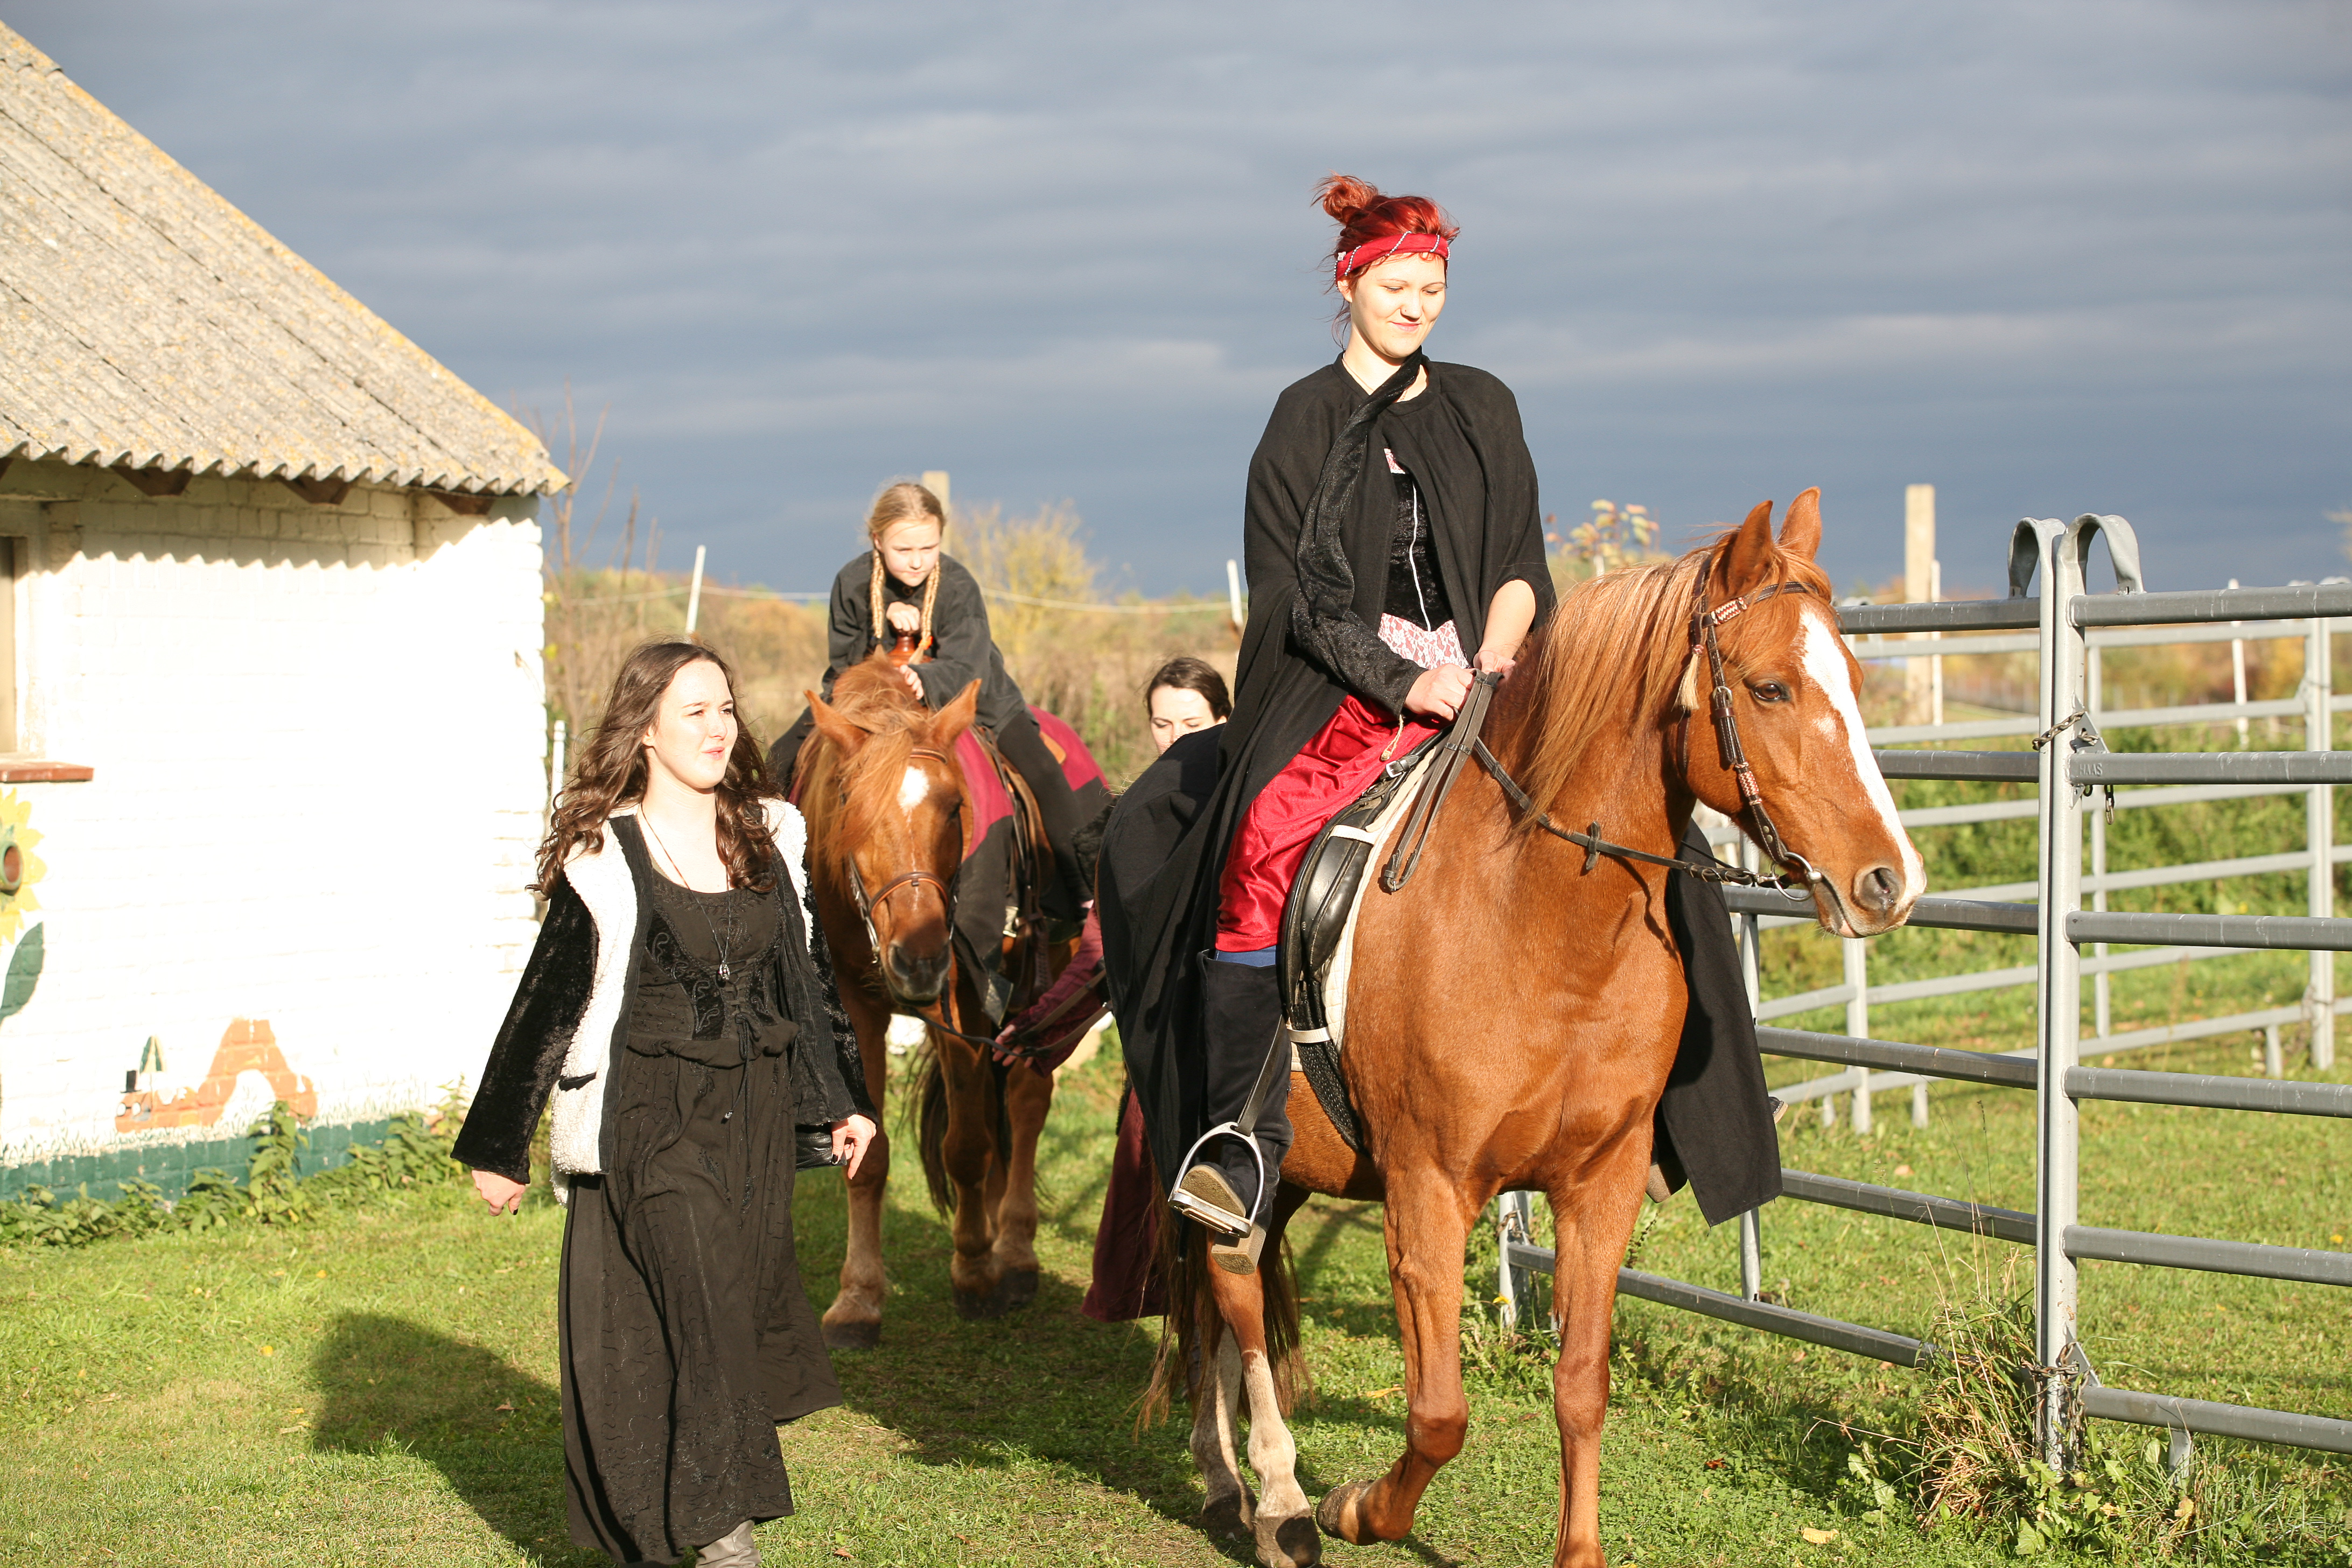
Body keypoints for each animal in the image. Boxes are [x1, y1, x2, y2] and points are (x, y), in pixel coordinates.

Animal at [798, 654, 1087, 1339]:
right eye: (849, 804)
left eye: (954, 806)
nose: (920, 957)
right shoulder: (858, 1007)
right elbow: (870, 1154)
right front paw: (858, 1296)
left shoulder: (963, 1004)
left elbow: (968, 1144)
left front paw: (975, 1270)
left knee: (1026, 1103)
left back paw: (1015, 1250)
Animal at [1160, 491, 1924, 1568]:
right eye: (1771, 688)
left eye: (1853, 681)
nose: (1890, 881)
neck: (1543, 933)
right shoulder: (1427, 1194)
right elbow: (1439, 1413)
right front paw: (1358, 1507)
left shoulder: (1601, 1185)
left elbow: (1581, 1387)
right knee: (1228, 1281)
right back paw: (1277, 1498)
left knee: (1233, 1286)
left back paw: (1231, 1478)